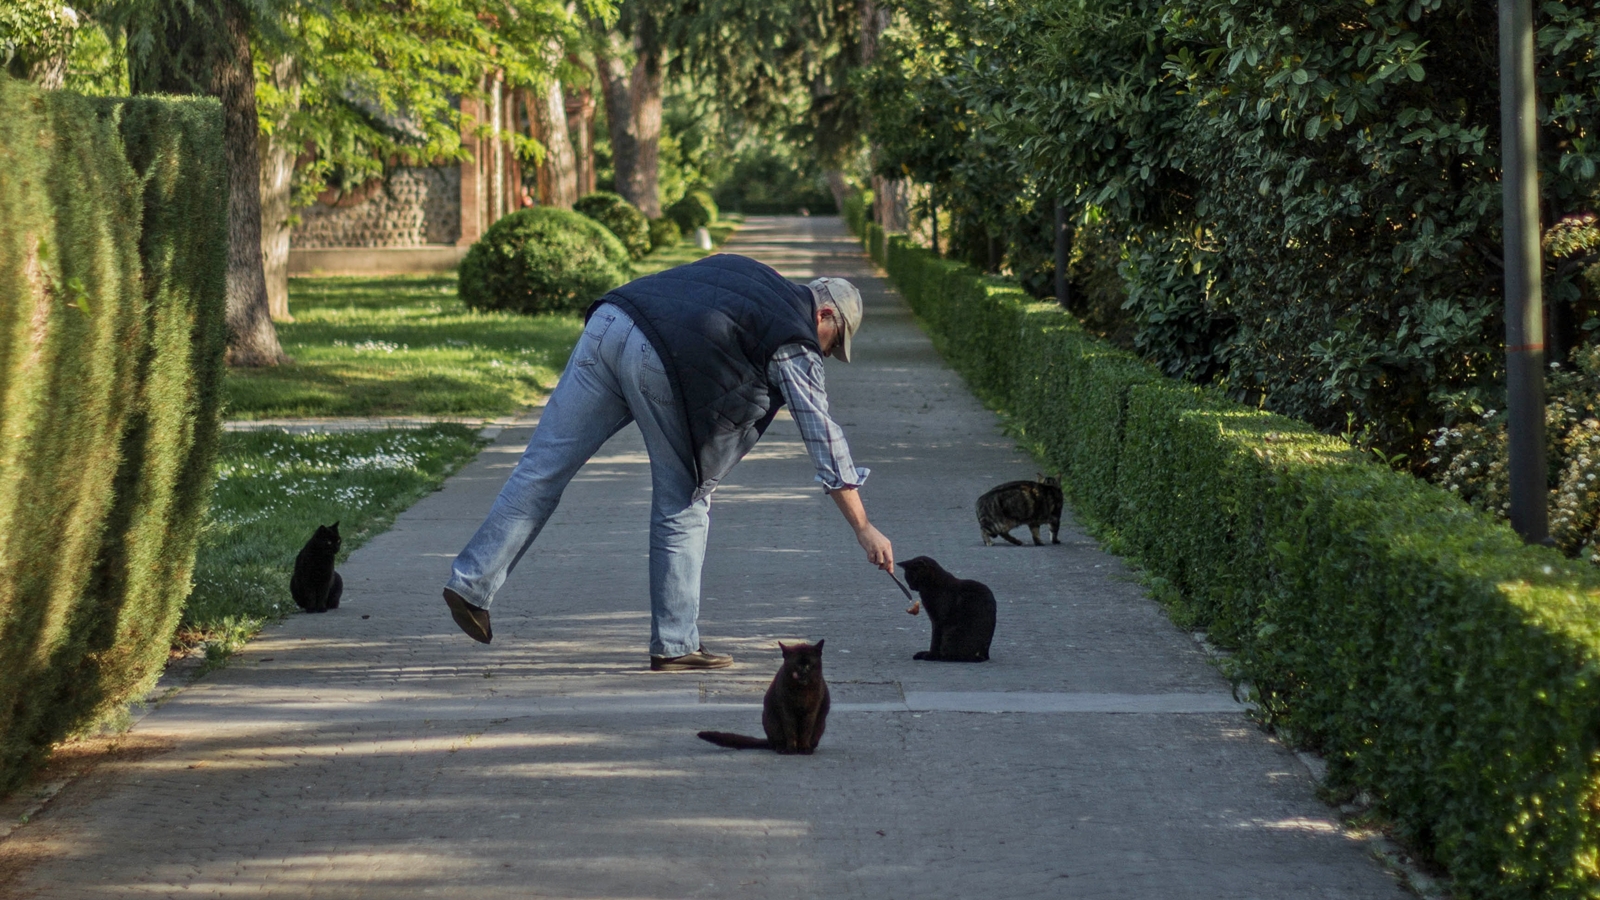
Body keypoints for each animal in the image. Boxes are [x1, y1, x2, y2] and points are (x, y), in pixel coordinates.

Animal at [697, 637, 832, 749]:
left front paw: (804, 748)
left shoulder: (812, 710)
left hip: (821, 724)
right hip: (771, 720)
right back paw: (782, 749)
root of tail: (769, 741)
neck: (801, 691)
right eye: (797, 665)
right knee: (777, 741)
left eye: (809, 665)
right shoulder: (786, 708)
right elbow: (790, 729)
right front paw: (791, 749)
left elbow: (806, 730)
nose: (803, 673)